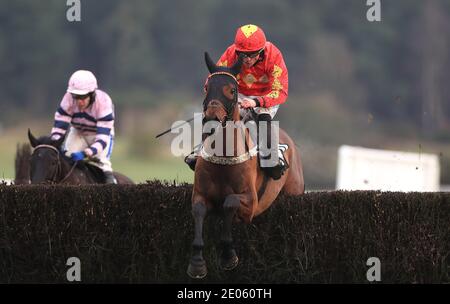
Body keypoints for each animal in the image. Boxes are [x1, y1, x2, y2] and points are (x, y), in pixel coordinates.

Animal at [186, 52, 306, 278]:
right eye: (207, 87)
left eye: (232, 90)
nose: (212, 119)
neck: (223, 158)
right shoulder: (200, 194)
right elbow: (198, 211)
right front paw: (197, 263)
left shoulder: (251, 203)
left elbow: (229, 203)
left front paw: (228, 256)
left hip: (294, 192)